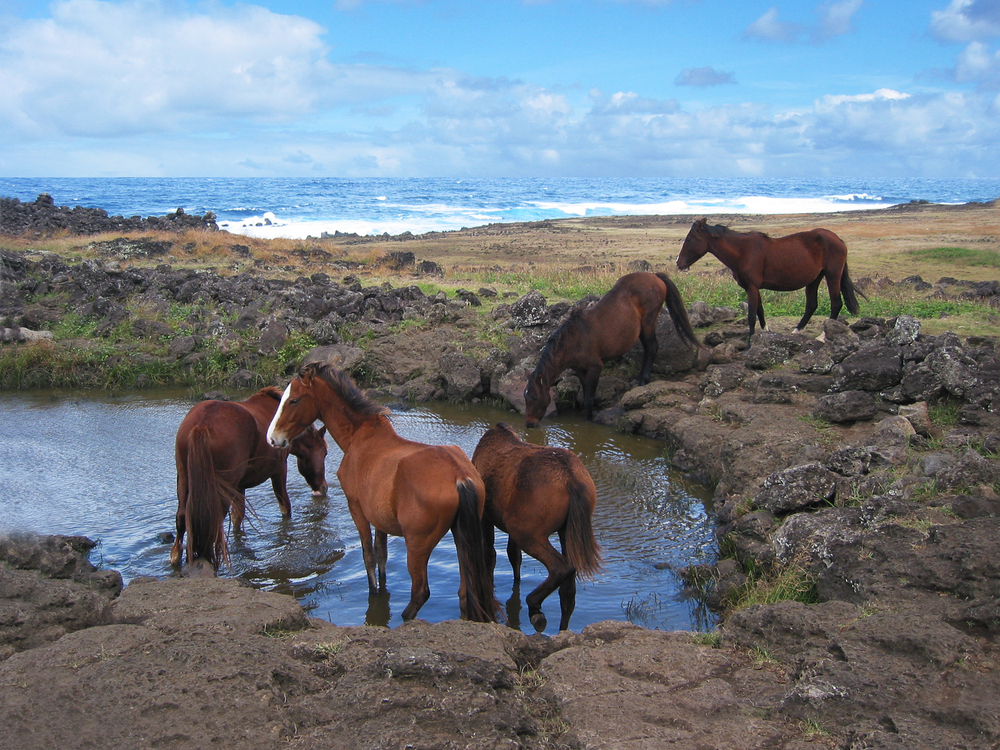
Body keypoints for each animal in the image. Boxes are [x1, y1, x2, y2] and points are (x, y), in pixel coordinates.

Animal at [170, 390, 330, 572]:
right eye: (324, 452)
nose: (323, 487)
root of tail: (201, 425)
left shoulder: (239, 486)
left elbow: (237, 517)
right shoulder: (279, 469)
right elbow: (285, 506)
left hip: (184, 479)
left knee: (182, 517)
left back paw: (176, 557)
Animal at [266, 362, 500, 624]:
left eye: (294, 400)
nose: (273, 438)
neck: (358, 435)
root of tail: (459, 476)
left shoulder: (356, 507)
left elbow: (368, 555)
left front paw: (373, 592)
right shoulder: (379, 518)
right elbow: (381, 556)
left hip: (418, 544)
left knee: (420, 592)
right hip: (462, 536)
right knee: (464, 592)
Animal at [470, 424, 600, 636]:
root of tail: (572, 481)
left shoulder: (485, 517)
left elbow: (490, 556)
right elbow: (514, 556)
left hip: (526, 532)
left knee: (561, 567)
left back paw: (535, 610)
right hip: (565, 532)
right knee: (568, 592)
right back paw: (561, 630)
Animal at [524, 272, 704, 428]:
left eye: (534, 396)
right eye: (525, 396)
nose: (529, 424)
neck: (573, 341)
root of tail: (654, 275)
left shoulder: (595, 368)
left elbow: (589, 399)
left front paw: (588, 422)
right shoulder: (581, 370)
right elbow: (585, 396)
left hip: (648, 322)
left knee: (652, 347)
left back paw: (643, 379)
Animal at [680, 217, 868, 344]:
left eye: (689, 239)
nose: (678, 263)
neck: (742, 251)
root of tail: (838, 239)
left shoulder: (752, 287)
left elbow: (752, 316)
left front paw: (749, 344)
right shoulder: (752, 287)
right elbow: (760, 311)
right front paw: (764, 332)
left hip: (832, 275)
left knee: (836, 303)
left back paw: (822, 336)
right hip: (815, 279)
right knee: (811, 305)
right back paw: (797, 331)